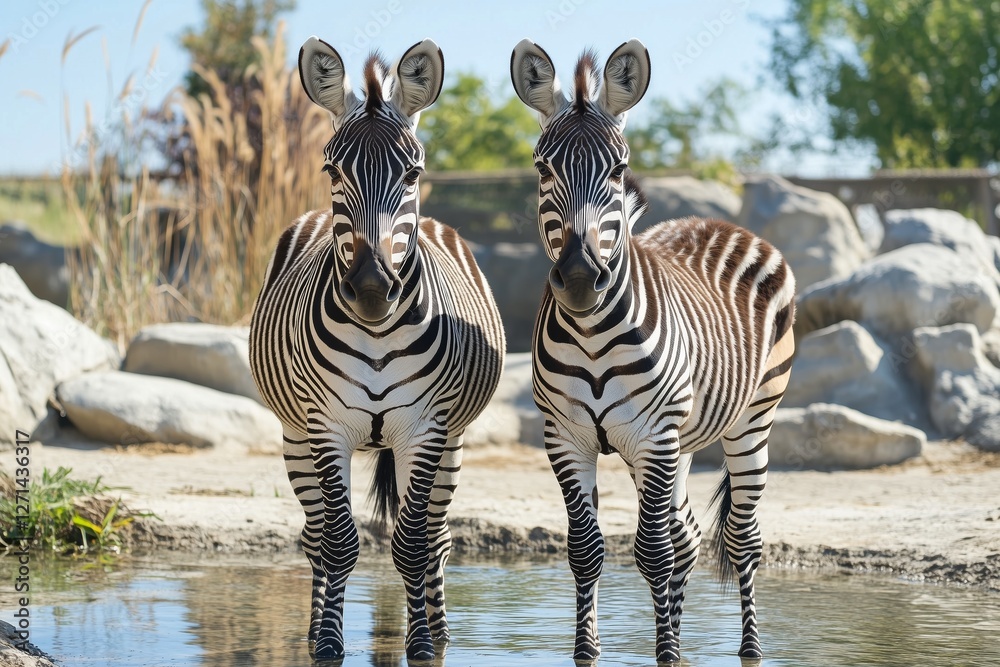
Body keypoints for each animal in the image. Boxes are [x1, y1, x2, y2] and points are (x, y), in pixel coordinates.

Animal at [249, 37, 505, 661]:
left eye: (413, 172)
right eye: (331, 168)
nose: (370, 287)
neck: (378, 334)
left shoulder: (427, 429)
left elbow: (412, 544)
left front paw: (422, 646)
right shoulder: (325, 427)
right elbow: (339, 541)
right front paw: (327, 644)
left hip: (453, 444)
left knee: (438, 536)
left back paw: (439, 629)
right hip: (293, 436)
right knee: (314, 534)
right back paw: (316, 625)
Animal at [510, 39, 796, 662]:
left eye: (618, 169)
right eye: (543, 168)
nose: (578, 278)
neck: (593, 334)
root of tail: (720, 220)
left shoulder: (654, 435)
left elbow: (651, 553)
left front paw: (664, 653)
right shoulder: (565, 436)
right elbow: (586, 549)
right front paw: (588, 649)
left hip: (750, 420)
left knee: (742, 537)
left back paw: (749, 645)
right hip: (680, 442)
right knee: (688, 536)